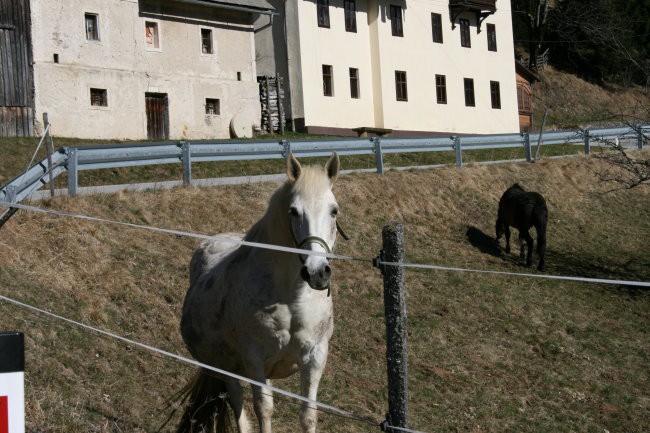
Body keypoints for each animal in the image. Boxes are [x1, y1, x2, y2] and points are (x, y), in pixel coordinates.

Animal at [175, 152, 342, 432]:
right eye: (294, 211)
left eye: (334, 210)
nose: (317, 272)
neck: (290, 297)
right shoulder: (253, 357)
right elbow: (264, 409)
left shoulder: (315, 356)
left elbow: (308, 415)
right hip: (224, 367)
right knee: (237, 400)